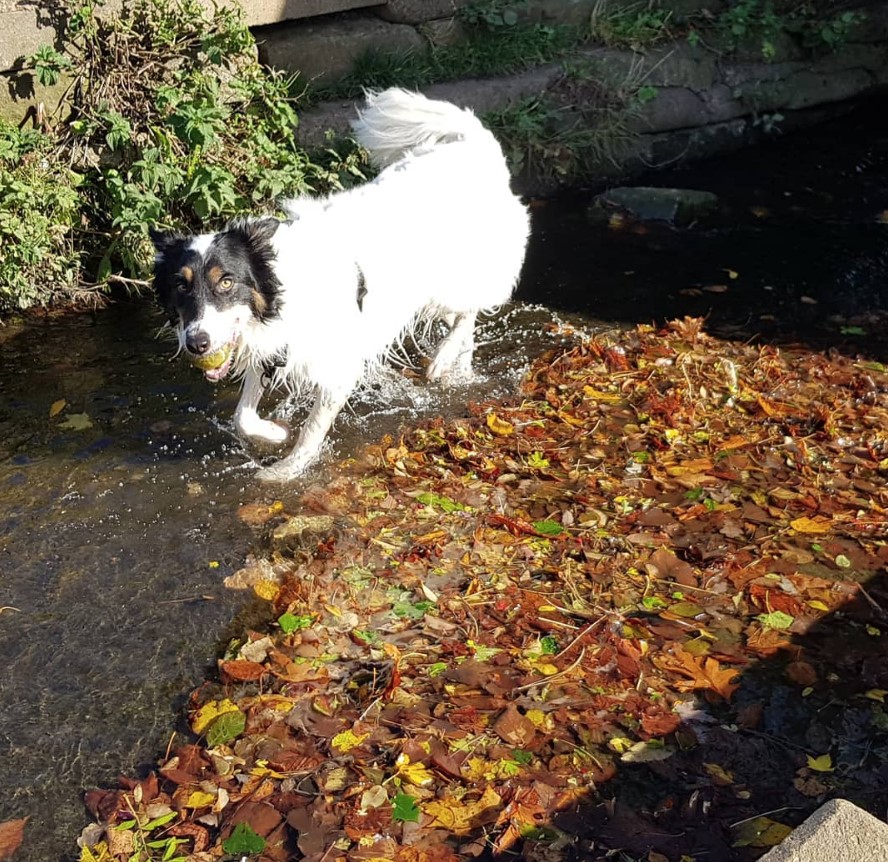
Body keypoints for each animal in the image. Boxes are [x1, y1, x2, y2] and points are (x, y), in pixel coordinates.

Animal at [149, 88, 532, 486]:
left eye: (226, 282)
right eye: (181, 286)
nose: (196, 343)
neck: (283, 287)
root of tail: (476, 146)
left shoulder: (337, 367)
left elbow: (311, 430)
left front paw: (287, 469)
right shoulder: (269, 348)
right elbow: (242, 417)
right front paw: (274, 433)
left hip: (449, 281)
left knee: (471, 309)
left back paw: (443, 359)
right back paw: (459, 369)